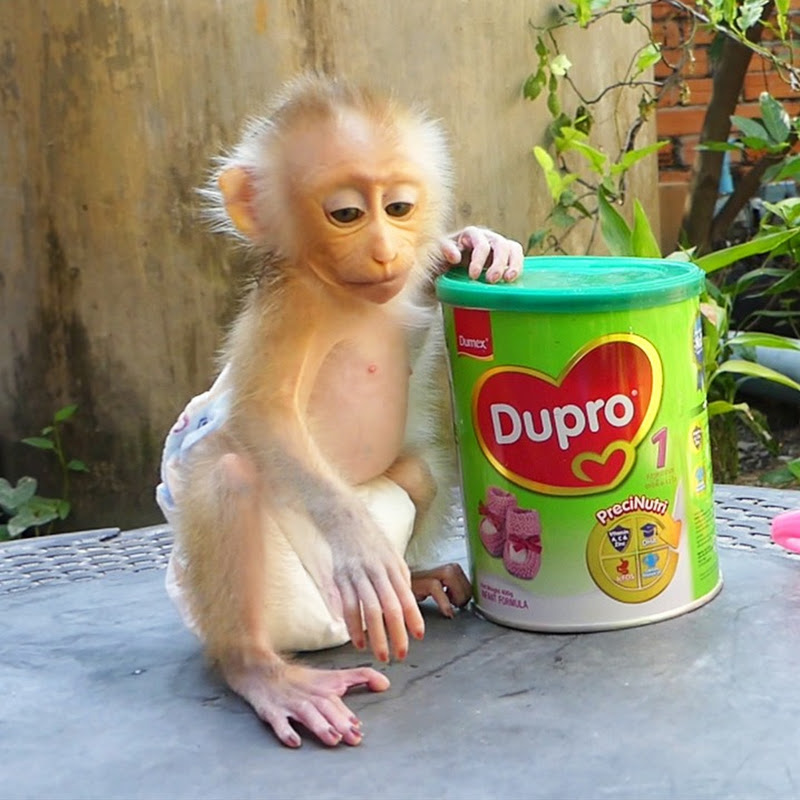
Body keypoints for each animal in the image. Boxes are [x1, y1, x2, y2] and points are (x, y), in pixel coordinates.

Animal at [156, 74, 523, 749]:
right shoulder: (291, 306)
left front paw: (478, 244)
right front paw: (359, 546)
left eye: (398, 208)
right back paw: (260, 671)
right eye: (347, 214)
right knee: (227, 473)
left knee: (420, 474)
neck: (342, 293)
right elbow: (263, 415)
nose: (382, 251)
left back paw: (418, 577)